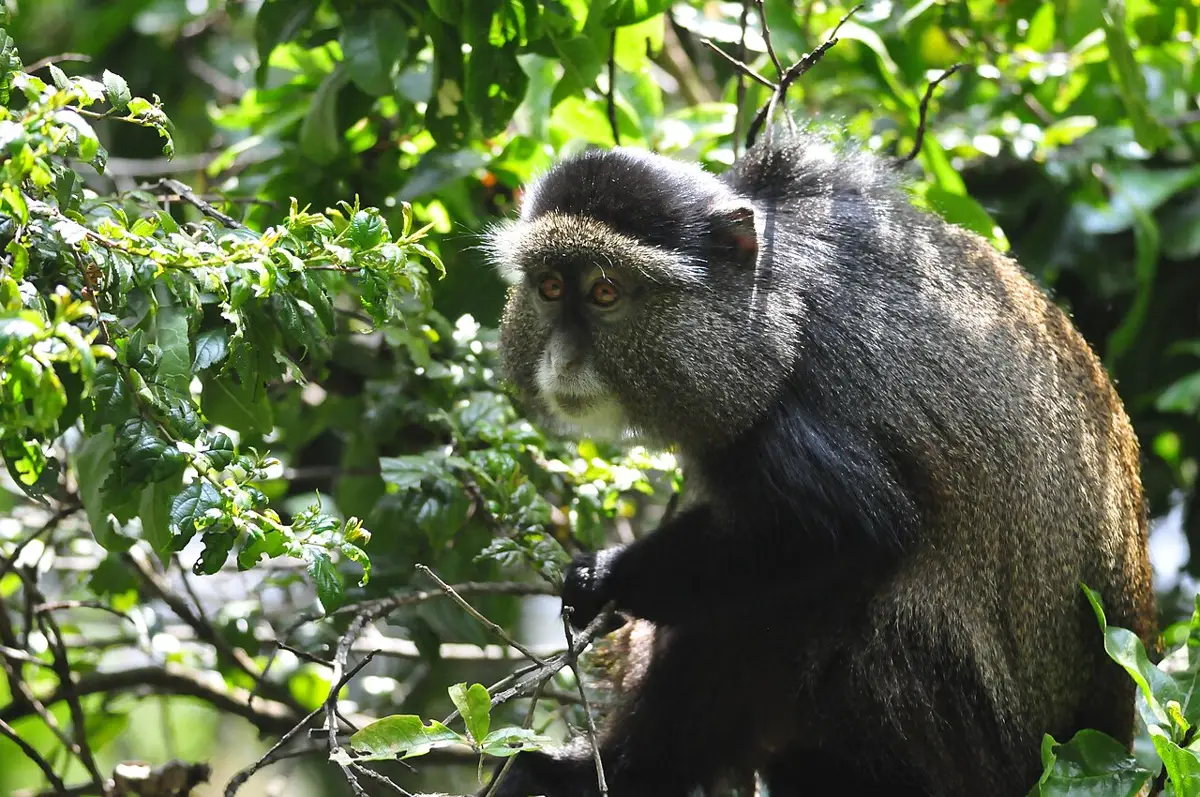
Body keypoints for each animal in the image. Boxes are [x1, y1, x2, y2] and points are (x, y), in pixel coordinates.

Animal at [479, 125, 1157, 797]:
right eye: (549, 288)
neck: (766, 301)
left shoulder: (790, 417)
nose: (564, 360)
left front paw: (605, 576)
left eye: (605, 292)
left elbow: (848, 531)